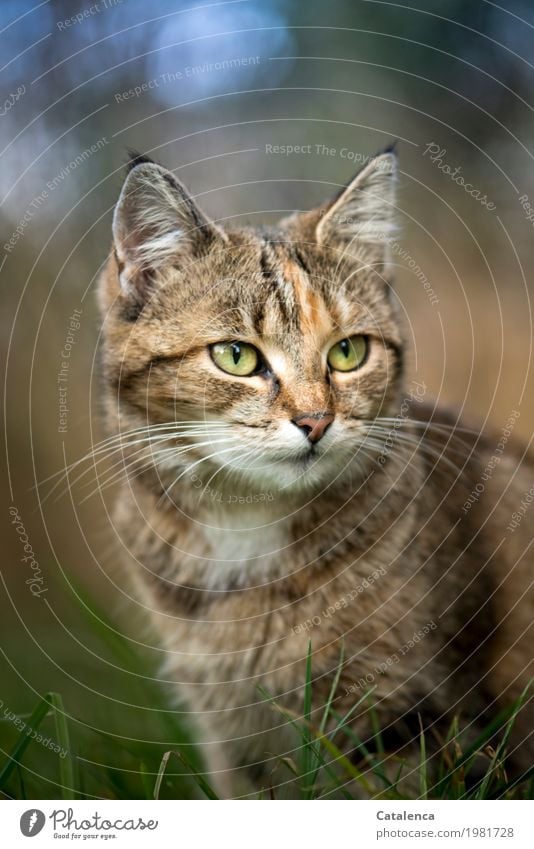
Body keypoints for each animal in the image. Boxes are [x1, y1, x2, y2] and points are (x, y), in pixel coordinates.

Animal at [98, 147, 532, 796]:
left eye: (348, 352)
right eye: (235, 356)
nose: (316, 420)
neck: (248, 527)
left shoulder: (399, 711)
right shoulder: (232, 734)